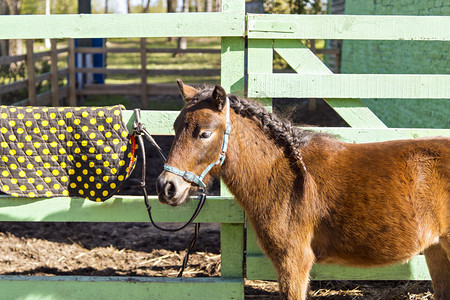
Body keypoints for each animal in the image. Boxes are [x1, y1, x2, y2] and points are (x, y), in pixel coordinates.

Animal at [157, 81, 450, 298]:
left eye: (205, 133)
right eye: (175, 127)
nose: (167, 187)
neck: (288, 175)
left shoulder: (293, 262)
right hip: (436, 249)